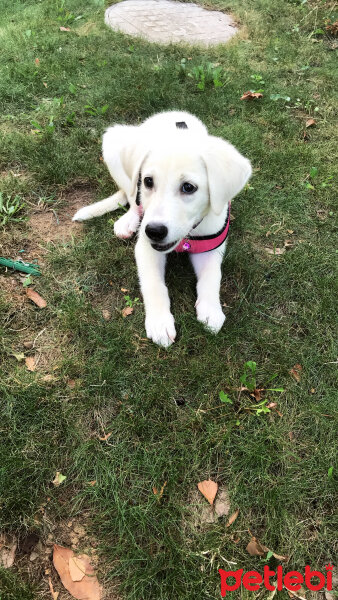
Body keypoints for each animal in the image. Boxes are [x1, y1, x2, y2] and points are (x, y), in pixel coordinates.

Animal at [73, 110, 251, 350]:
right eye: (148, 181)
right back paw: (128, 221)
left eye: (188, 187)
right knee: (132, 195)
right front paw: (159, 322)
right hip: (113, 143)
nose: (154, 231)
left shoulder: (211, 246)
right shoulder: (146, 248)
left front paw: (211, 310)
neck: (187, 235)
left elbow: (212, 276)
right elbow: (154, 285)